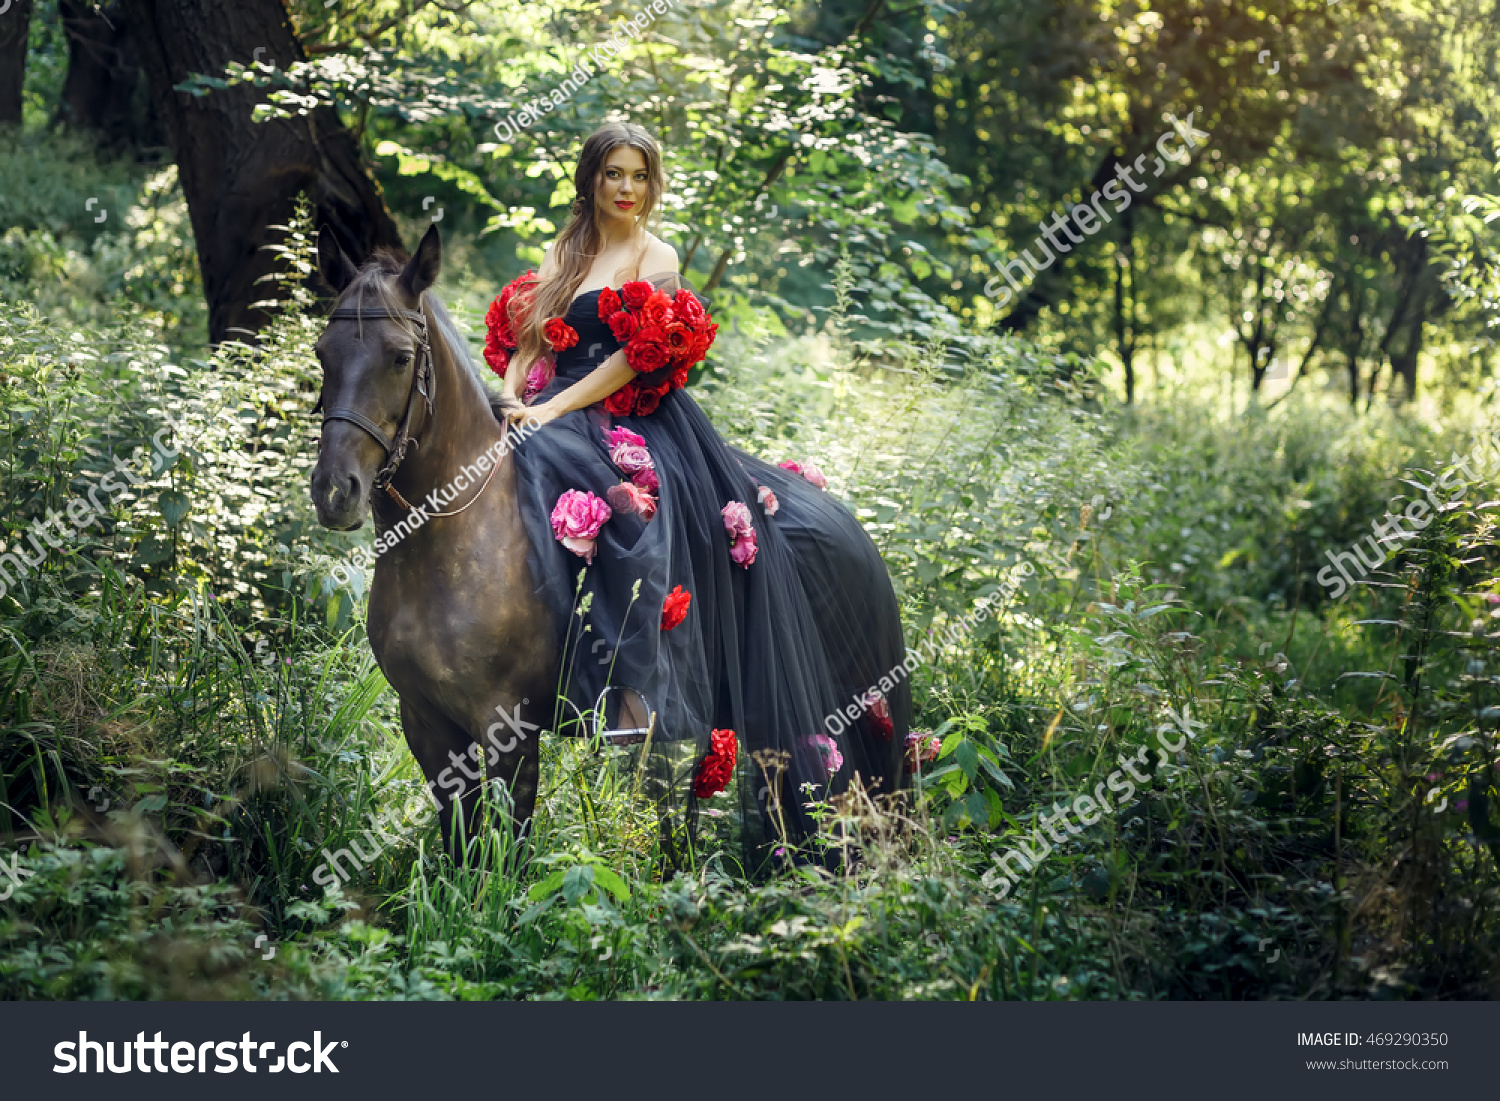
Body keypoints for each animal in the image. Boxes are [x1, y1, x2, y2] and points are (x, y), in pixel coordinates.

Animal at [310, 228, 558, 858]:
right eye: (323, 353)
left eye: (401, 358)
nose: (334, 491)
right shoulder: (424, 721)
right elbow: (460, 837)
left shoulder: (510, 732)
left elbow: (509, 852)